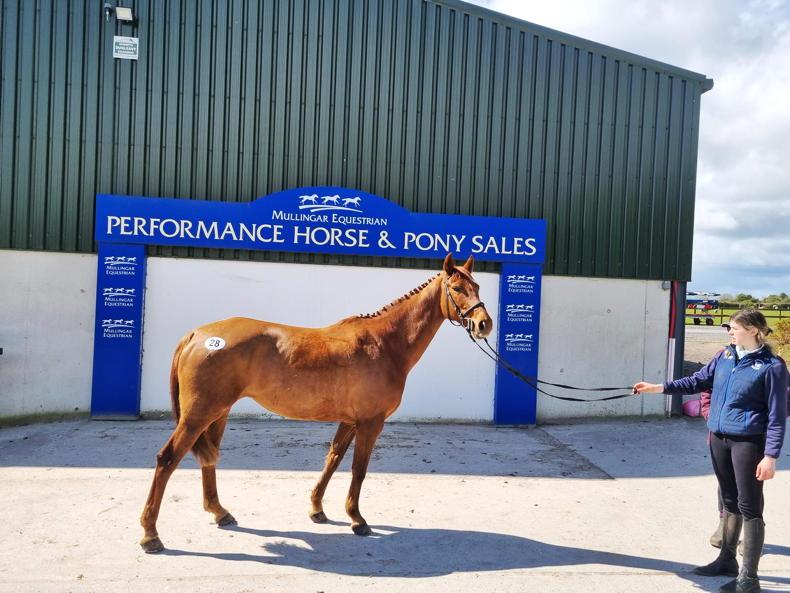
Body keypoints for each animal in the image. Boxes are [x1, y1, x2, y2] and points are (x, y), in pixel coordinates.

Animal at [139, 253, 493, 553]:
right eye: (457, 288)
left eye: (477, 286)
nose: (484, 324)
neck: (385, 343)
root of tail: (197, 334)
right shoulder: (371, 422)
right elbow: (358, 469)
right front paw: (357, 519)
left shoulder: (350, 421)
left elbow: (332, 460)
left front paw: (317, 509)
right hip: (198, 415)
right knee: (167, 459)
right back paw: (150, 534)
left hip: (218, 413)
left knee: (208, 459)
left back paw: (220, 512)